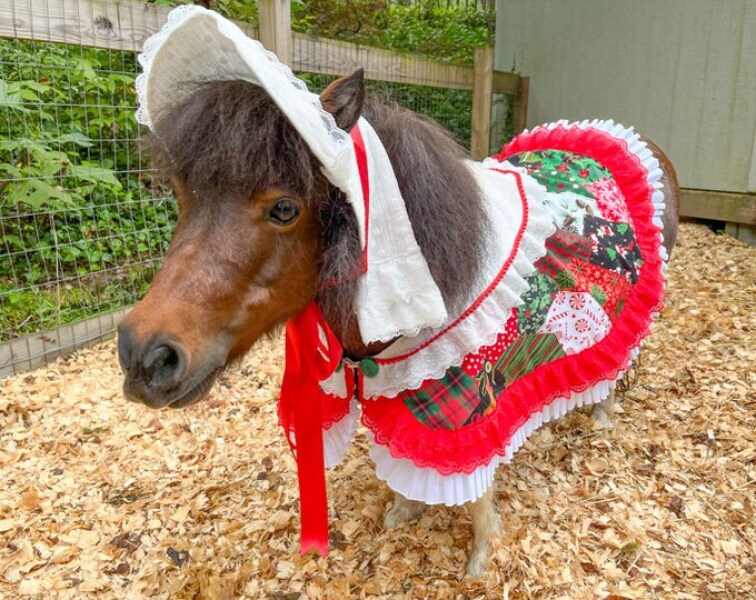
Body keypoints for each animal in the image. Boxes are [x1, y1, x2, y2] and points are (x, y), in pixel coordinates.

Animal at [117, 68, 679, 575]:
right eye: (181, 192)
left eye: (284, 209)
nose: (143, 356)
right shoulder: (397, 394)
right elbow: (406, 460)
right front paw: (404, 511)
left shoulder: (467, 414)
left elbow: (475, 490)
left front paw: (481, 557)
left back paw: (601, 413)